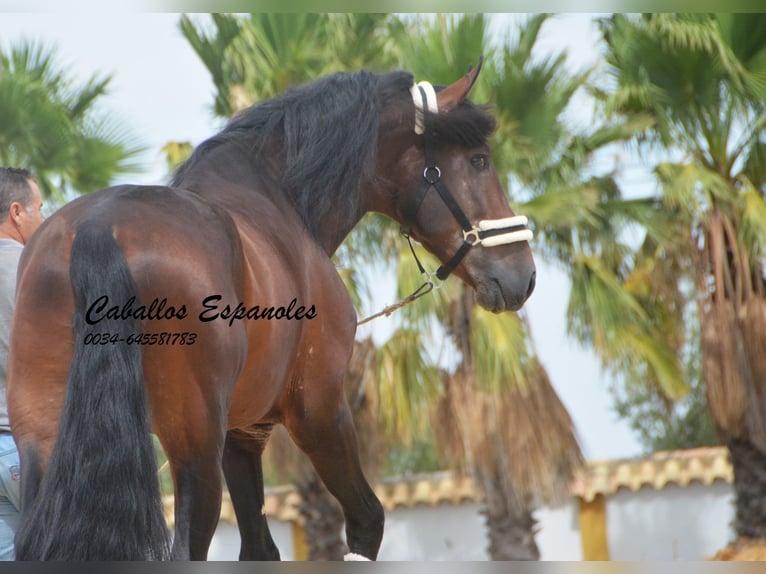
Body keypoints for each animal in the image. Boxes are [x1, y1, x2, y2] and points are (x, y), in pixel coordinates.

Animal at [7, 60, 536, 560]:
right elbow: (367, 521)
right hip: (194, 448)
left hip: (45, 446)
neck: (278, 200)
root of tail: (100, 227)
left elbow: (260, 548)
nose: (523, 275)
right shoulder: (318, 408)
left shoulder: (242, 433)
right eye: (479, 159)